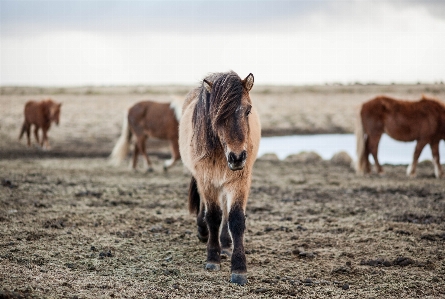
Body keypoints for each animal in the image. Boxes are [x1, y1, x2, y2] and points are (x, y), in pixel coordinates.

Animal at [177, 71, 260, 286]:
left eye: (248, 110)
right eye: (217, 116)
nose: (237, 157)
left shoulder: (239, 182)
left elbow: (235, 219)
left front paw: (239, 268)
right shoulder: (206, 180)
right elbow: (213, 216)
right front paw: (212, 258)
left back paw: (226, 245)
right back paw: (203, 232)